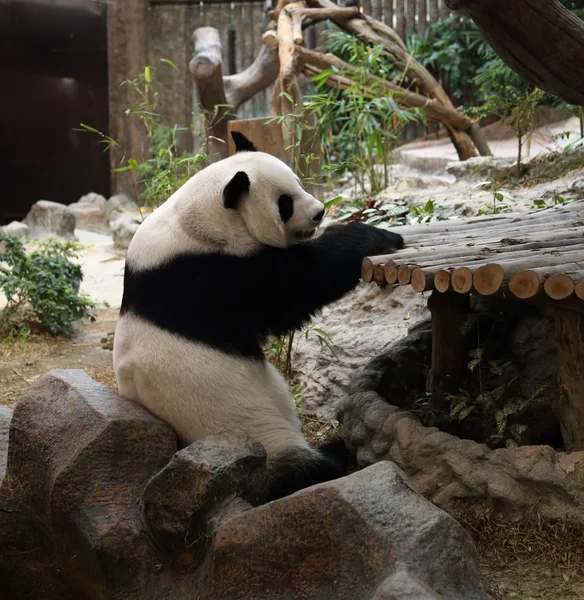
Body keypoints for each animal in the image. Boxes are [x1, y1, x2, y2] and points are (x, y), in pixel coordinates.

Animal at [114, 131, 406, 502]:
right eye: (285, 203)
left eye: (299, 181)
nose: (319, 212)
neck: (197, 218)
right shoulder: (204, 276)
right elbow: (293, 287)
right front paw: (376, 235)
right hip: (251, 439)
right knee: (293, 468)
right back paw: (331, 453)